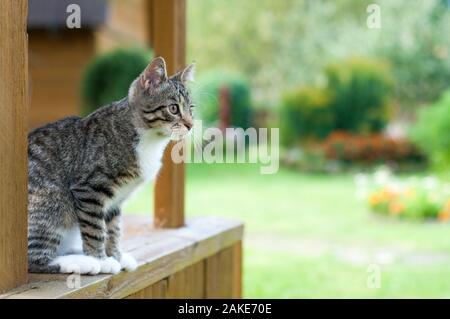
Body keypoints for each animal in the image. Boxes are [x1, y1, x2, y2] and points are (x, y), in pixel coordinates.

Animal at [28, 57, 195, 276]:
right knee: (34, 259)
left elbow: (113, 229)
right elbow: (95, 228)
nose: (191, 125)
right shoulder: (89, 188)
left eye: (191, 109)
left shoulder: (116, 199)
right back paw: (83, 262)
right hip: (51, 200)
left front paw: (116, 256)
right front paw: (101, 259)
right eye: (174, 108)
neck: (147, 138)